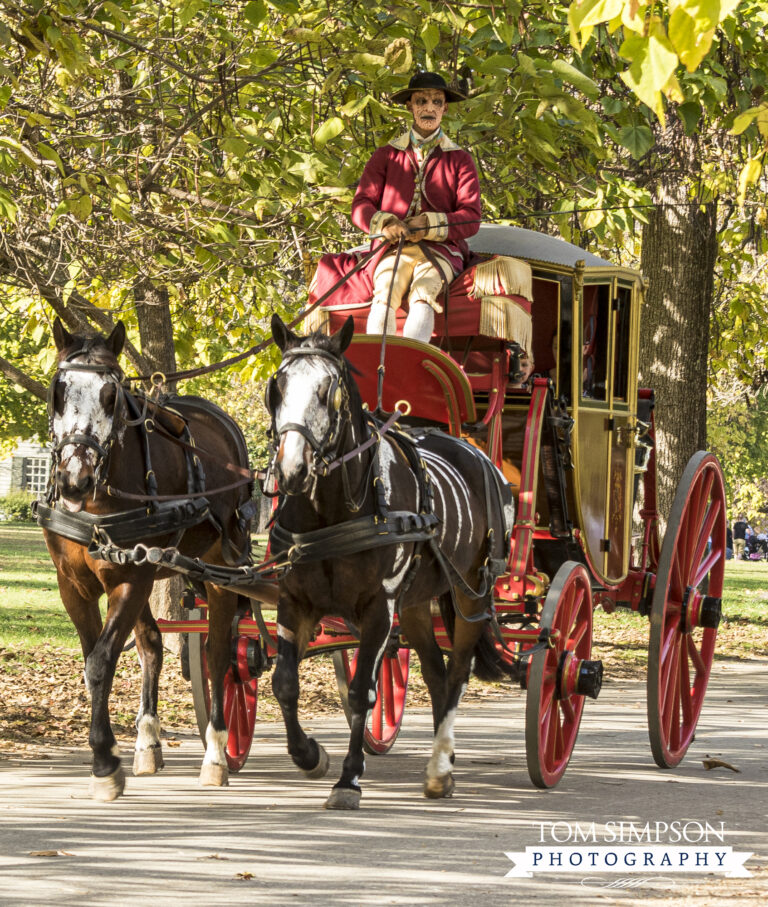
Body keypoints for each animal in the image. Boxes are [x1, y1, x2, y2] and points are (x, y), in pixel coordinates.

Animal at [40, 320, 252, 800]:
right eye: (58, 391)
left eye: (111, 395)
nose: (74, 479)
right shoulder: (74, 585)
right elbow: (96, 659)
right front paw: (115, 751)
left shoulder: (130, 579)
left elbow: (101, 662)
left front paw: (104, 762)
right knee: (153, 645)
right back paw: (149, 741)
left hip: (220, 566)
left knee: (218, 653)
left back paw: (217, 753)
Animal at [266, 318, 516, 808]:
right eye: (277, 386)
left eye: (329, 392)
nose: (292, 471)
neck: (332, 511)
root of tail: (475, 451)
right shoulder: (294, 601)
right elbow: (284, 681)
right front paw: (309, 755)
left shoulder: (379, 608)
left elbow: (363, 691)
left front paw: (348, 779)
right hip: (418, 603)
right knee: (436, 672)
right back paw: (444, 762)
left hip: (471, 593)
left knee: (458, 672)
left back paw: (439, 767)